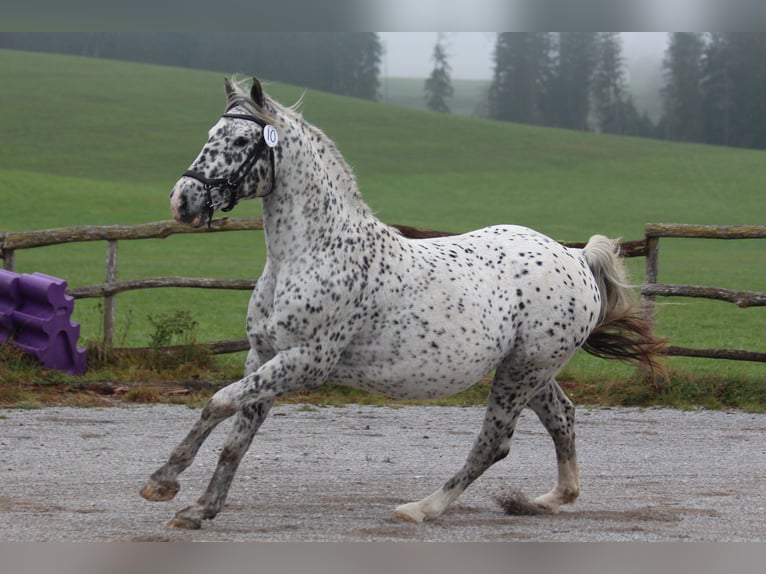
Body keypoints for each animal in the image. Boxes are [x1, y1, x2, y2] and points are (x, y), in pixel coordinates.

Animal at [142, 75, 664, 532]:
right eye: (212, 134)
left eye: (240, 142)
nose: (182, 201)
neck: (312, 252)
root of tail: (575, 257)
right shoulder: (264, 357)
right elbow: (237, 438)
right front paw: (198, 510)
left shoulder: (305, 362)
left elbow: (217, 403)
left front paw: (163, 483)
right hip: (530, 369)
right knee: (563, 416)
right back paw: (551, 499)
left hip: (522, 372)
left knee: (493, 443)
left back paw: (421, 509)